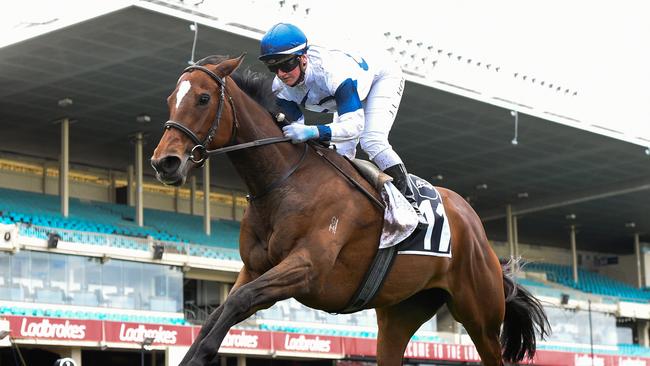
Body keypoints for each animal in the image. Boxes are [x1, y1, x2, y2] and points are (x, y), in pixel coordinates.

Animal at [148, 55, 548, 366]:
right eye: (170, 98)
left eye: (203, 98)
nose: (164, 162)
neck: (285, 181)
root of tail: (478, 231)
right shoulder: (254, 268)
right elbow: (219, 313)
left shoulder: (307, 267)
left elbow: (237, 304)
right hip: (399, 314)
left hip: (480, 316)